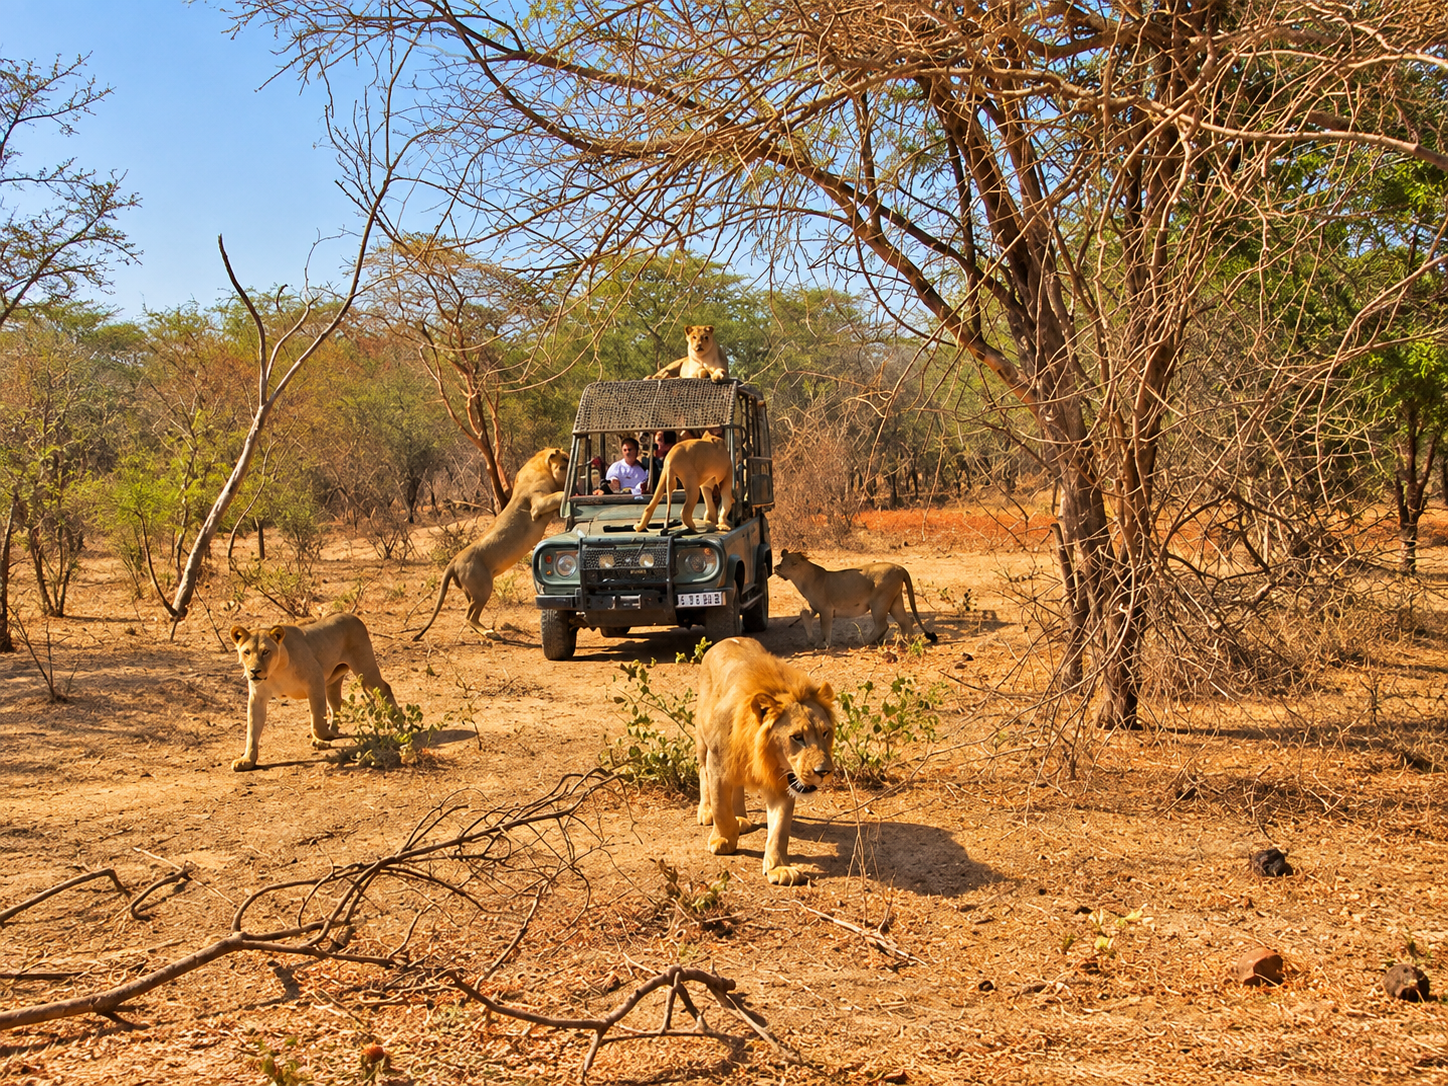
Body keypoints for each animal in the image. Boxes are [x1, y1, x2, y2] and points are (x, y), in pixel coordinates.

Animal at [230, 613, 396, 772]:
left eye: (266, 651)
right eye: (247, 652)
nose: (254, 671)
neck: (275, 671)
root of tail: (352, 616)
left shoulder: (316, 680)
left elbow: (317, 721)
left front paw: (325, 737)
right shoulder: (257, 698)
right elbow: (252, 731)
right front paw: (247, 761)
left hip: (365, 669)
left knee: (385, 688)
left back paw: (396, 720)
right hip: (333, 681)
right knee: (336, 704)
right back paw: (333, 730)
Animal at [413, 447, 570, 640]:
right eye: (565, 460)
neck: (542, 467)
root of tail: (453, 561)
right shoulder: (537, 505)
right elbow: (559, 495)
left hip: (471, 592)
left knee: (472, 614)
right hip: (483, 588)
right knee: (469, 616)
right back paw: (489, 633)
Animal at [695, 637, 835, 886]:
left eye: (825, 733)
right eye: (797, 737)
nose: (824, 771)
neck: (764, 756)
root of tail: (723, 641)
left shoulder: (783, 783)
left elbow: (779, 830)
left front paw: (779, 869)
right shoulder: (718, 763)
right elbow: (721, 808)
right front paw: (723, 840)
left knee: (738, 787)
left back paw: (741, 817)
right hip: (703, 741)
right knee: (703, 772)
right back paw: (706, 811)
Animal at [773, 549, 939, 649]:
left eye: (794, 563)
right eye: (782, 561)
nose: (777, 568)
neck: (803, 581)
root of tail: (901, 568)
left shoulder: (826, 609)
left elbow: (824, 628)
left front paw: (823, 643)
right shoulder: (814, 608)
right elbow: (804, 615)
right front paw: (811, 640)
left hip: (879, 602)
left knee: (883, 625)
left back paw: (865, 641)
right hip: (895, 601)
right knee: (906, 621)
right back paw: (905, 641)